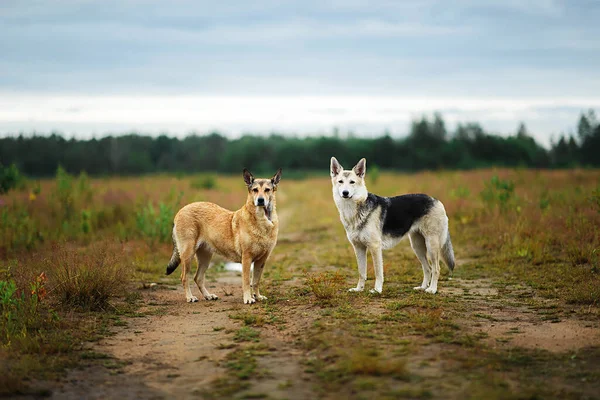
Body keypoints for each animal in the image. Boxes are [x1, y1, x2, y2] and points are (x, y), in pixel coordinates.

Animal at [165, 168, 282, 304]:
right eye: (255, 190)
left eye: (267, 190)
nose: (261, 200)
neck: (263, 220)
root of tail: (180, 211)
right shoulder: (246, 258)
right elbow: (247, 281)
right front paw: (248, 298)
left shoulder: (261, 260)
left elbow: (256, 281)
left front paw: (257, 296)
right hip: (187, 254)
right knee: (184, 277)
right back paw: (190, 297)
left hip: (205, 257)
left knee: (198, 278)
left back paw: (208, 296)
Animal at [328, 157, 454, 294]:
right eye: (340, 182)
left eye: (352, 182)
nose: (345, 193)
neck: (352, 210)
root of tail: (436, 200)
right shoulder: (358, 247)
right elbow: (362, 272)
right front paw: (358, 289)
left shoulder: (375, 247)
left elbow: (378, 272)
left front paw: (377, 290)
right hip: (417, 247)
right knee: (428, 268)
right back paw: (422, 287)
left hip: (431, 245)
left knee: (436, 268)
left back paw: (432, 289)